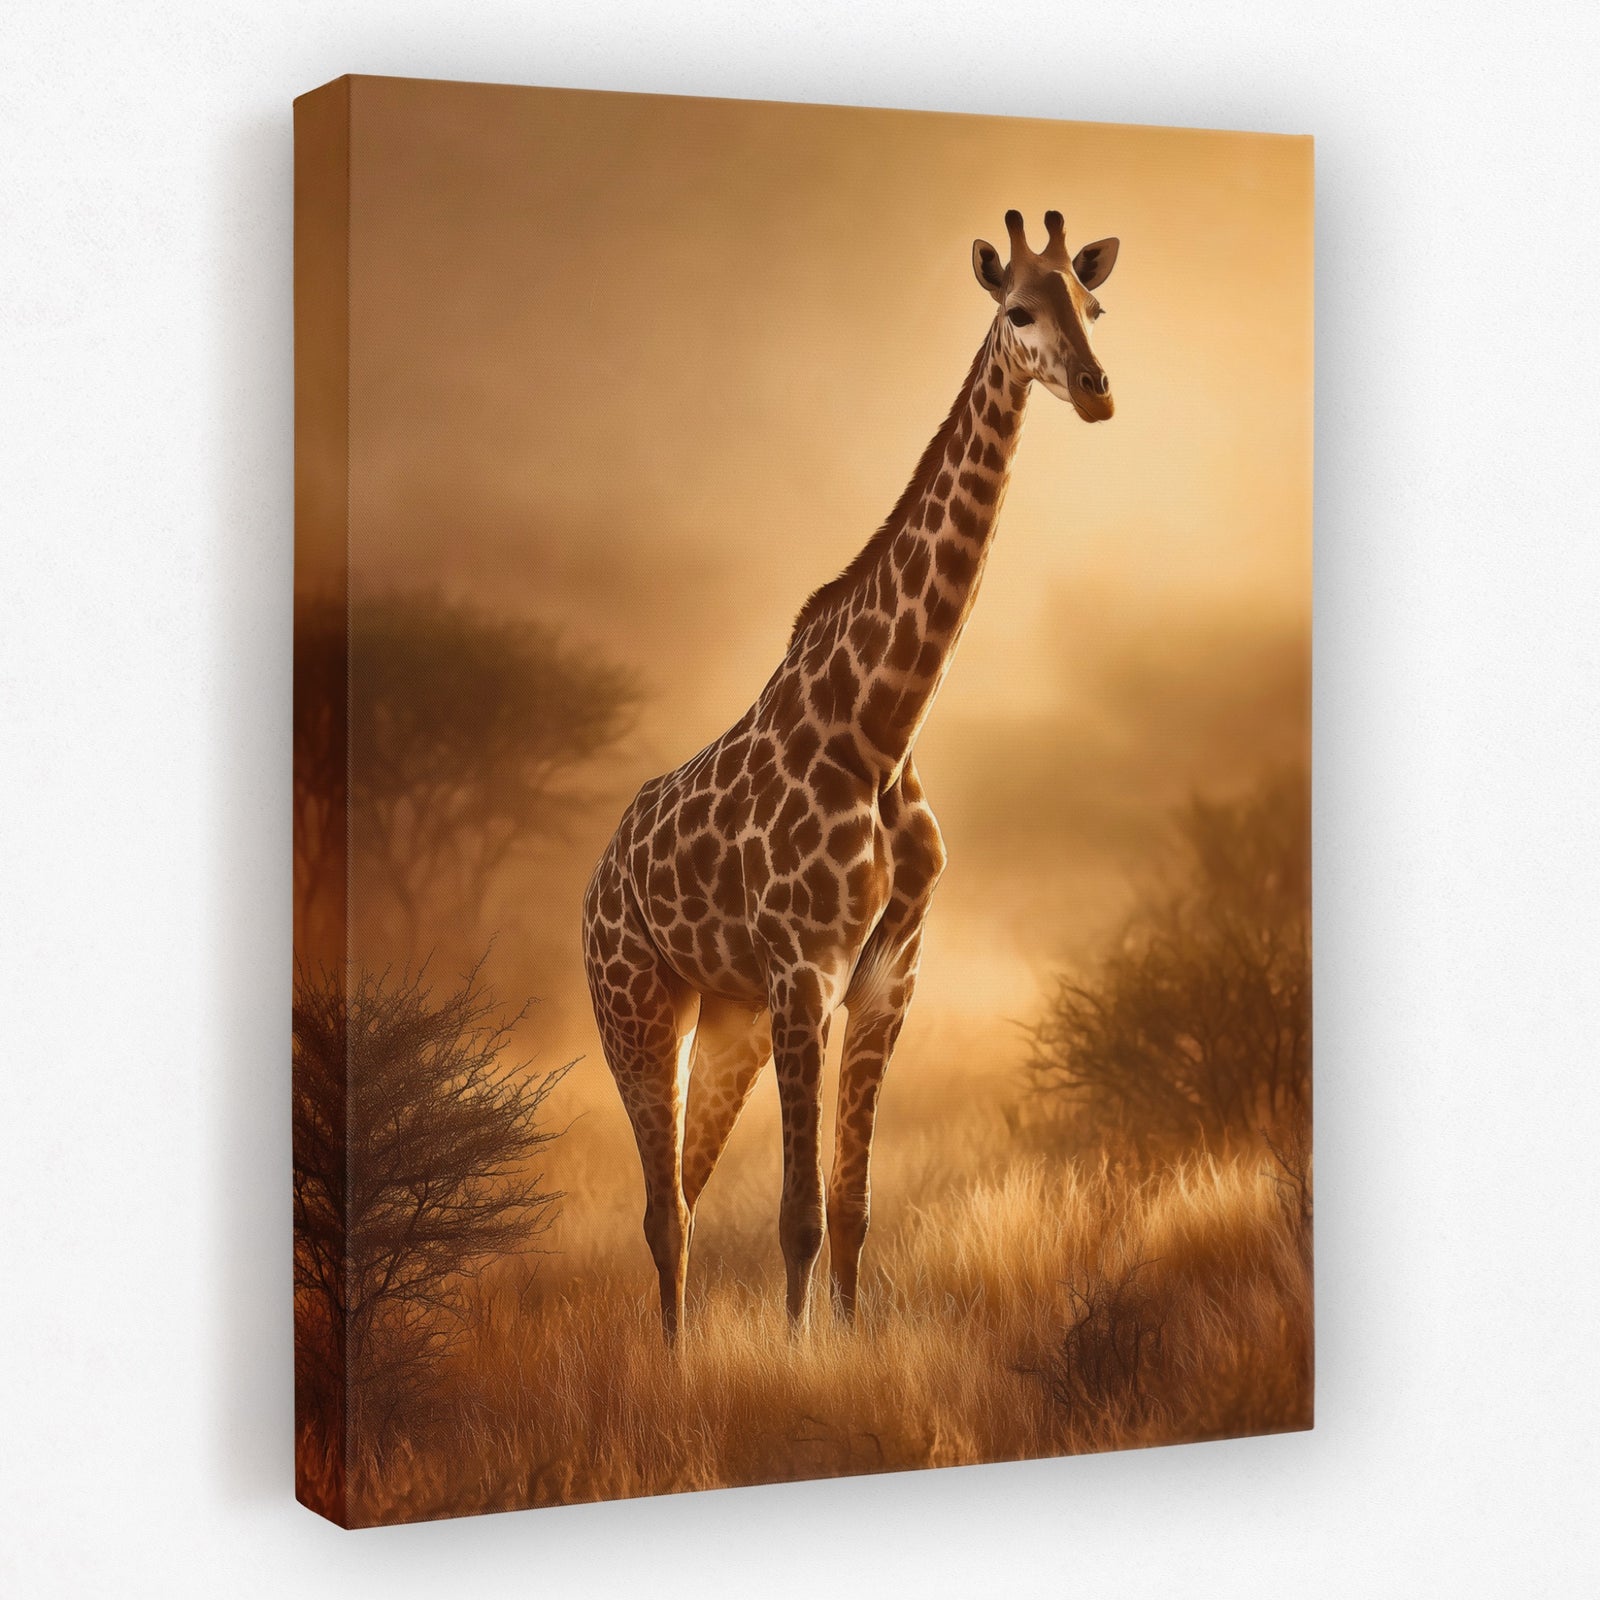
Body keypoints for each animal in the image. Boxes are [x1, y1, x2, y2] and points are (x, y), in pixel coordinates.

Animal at [582, 209, 1120, 1341]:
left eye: (1092, 305)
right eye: (1020, 311)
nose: (1097, 388)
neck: (881, 726)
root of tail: (599, 873)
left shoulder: (886, 979)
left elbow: (852, 1207)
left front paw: (840, 1343)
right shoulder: (804, 972)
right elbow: (795, 1214)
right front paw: (793, 1363)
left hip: (726, 1020)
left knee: (683, 1193)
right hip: (637, 1007)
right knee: (661, 1211)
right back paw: (670, 1367)